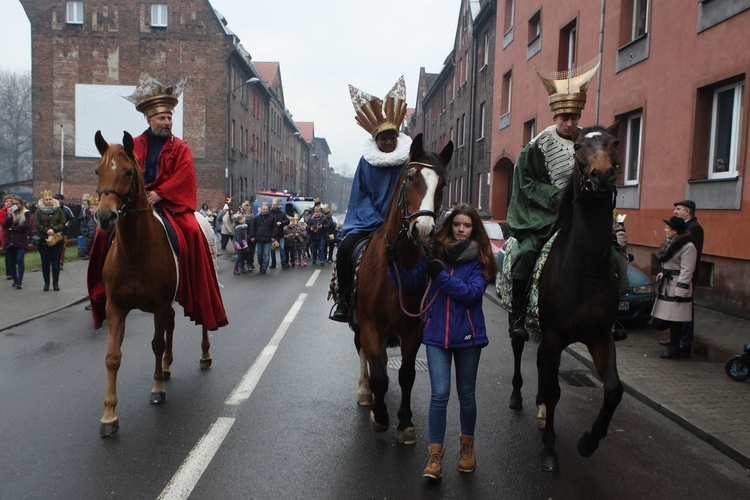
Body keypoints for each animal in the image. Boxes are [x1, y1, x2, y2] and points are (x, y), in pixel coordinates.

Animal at [94, 131, 213, 436]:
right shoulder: (116, 307)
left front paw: (157, 388)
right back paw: (168, 367)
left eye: (128, 172)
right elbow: (112, 356)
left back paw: (204, 356)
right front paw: (109, 415)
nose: (105, 217)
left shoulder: (158, 304)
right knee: (171, 322)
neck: (136, 250)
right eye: (98, 170)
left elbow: (156, 344)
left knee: (203, 323)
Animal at [352, 133, 452, 442]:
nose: (424, 230)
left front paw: (405, 423)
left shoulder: (412, 330)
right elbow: (379, 376)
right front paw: (381, 416)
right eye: (410, 177)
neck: (398, 260)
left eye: (443, 184)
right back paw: (365, 391)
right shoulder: (370, 325)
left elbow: (406, 375)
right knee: (363, 353)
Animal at [508, 123, 624, 470]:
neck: (586, 270)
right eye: (578, 148)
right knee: (519, 350)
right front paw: (549, 449)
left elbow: (613, 390)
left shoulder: (600, 336)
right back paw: (518, 397)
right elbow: (555, 390)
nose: (602, 177)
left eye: (615, 143)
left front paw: (588, 441)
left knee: (541, 362)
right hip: (520, 322)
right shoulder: (556, 335)